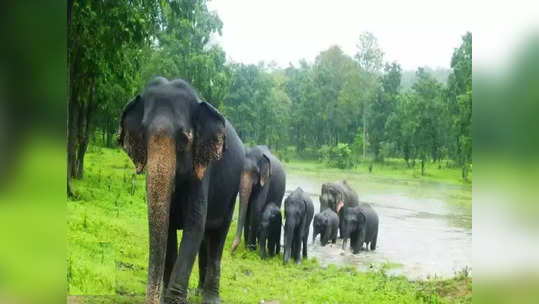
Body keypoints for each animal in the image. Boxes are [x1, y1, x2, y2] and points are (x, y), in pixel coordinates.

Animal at [119, 76, 245, 304]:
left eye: (184, 140)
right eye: (142, 135)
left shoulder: (202, 171)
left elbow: (194, 226)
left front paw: (174, 300)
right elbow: (169, 228)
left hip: (232, 193)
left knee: (218, 237)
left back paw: (210, 298)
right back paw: (199, 292)